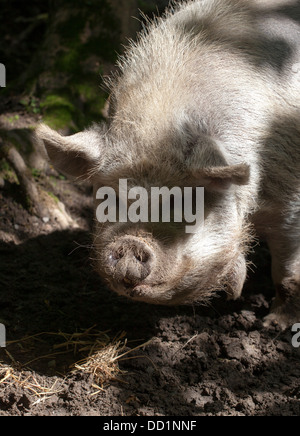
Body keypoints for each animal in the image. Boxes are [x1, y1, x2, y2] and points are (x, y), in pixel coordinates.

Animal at [36, 0, 300, 328]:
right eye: (111, 198)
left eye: (184, 204)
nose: (131, 244)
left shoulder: (290, 195)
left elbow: (287, 269)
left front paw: (274, 324)